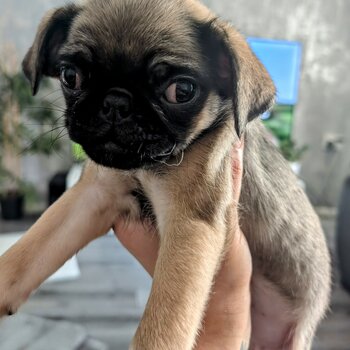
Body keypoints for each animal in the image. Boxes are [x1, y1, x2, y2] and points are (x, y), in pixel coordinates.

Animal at [0, 0, 330, 348]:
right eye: (70, 76)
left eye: (181, 91)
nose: (115, 101)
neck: (145, 167)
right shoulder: (93, 195)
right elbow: (27, 252)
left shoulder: (189, 223)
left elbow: (161, 327)